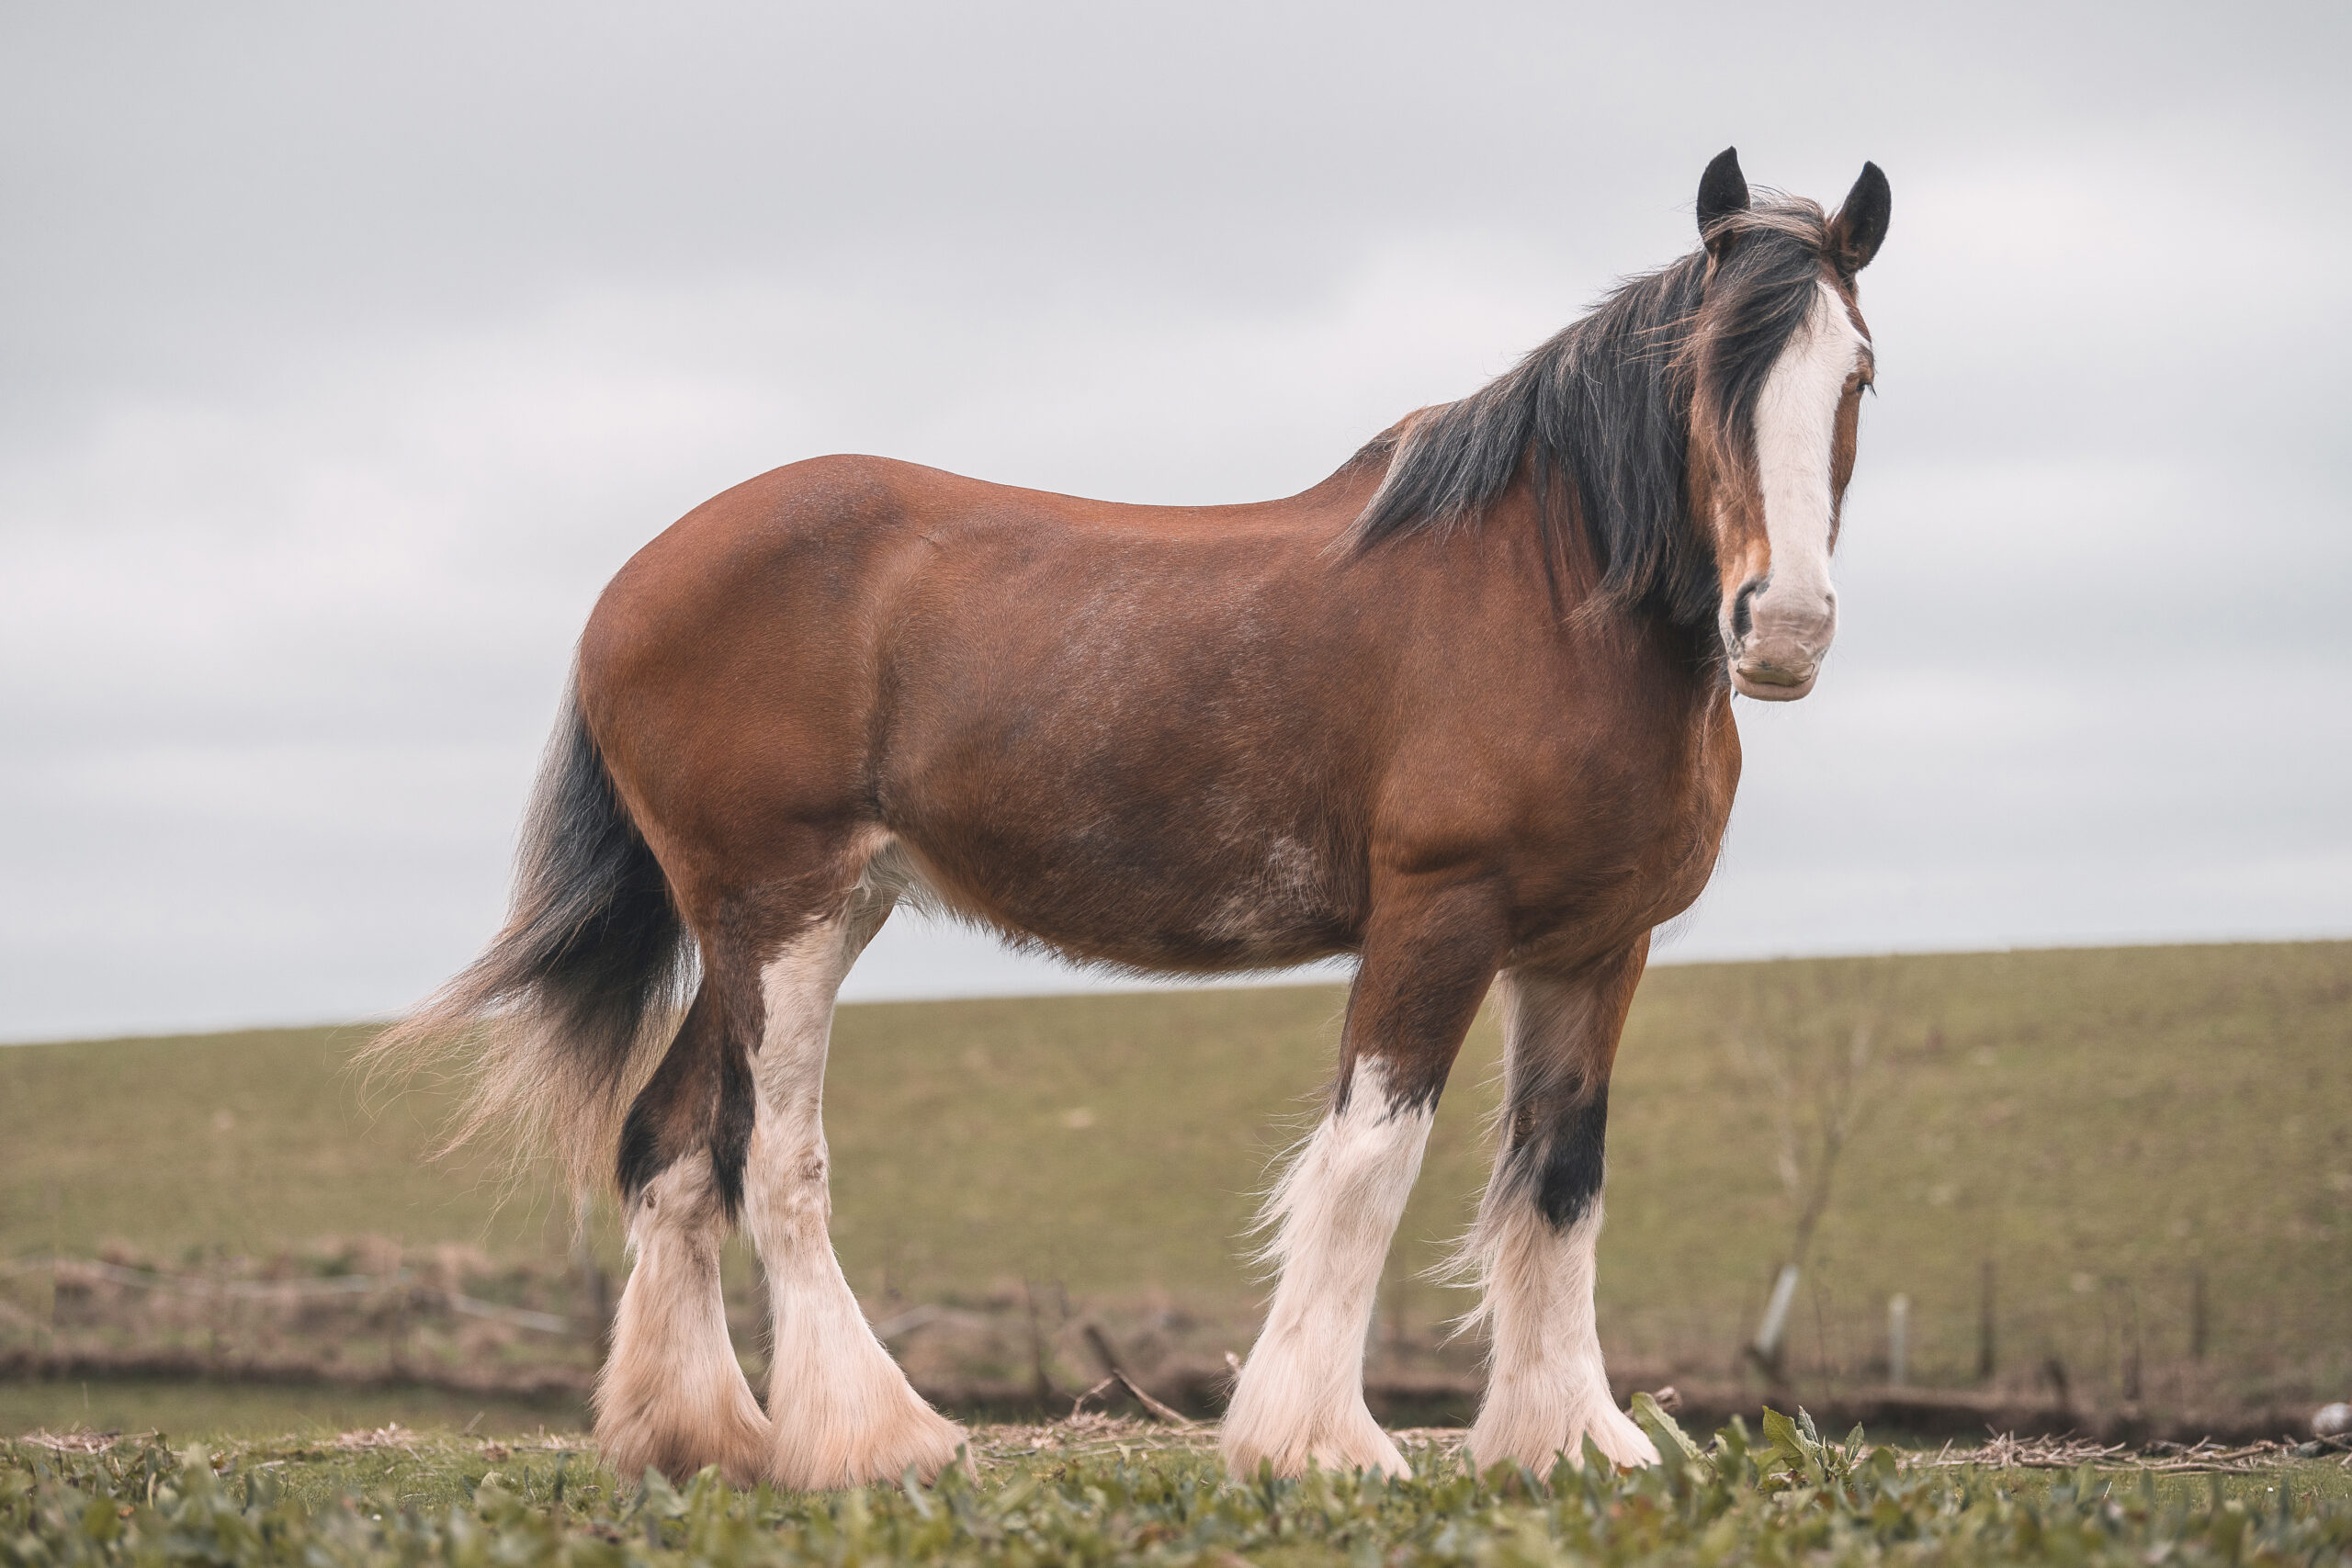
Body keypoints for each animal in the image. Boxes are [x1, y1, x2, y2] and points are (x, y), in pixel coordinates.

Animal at [380, 150, 1891, 1495]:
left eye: (1856, 375)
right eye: (1706, 373)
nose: (1784, 625)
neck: (1547, 594)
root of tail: (630, 584)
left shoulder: (1592, 946)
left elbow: (1560, 1179)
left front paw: (1569, 1437)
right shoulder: (1438, 915)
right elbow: (1368, 1163)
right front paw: (1317, 1443)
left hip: (789, 915)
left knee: (673, 1148)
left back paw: (700, 1437)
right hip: (782, 911)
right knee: (774, 1159)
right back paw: (876, 1438)